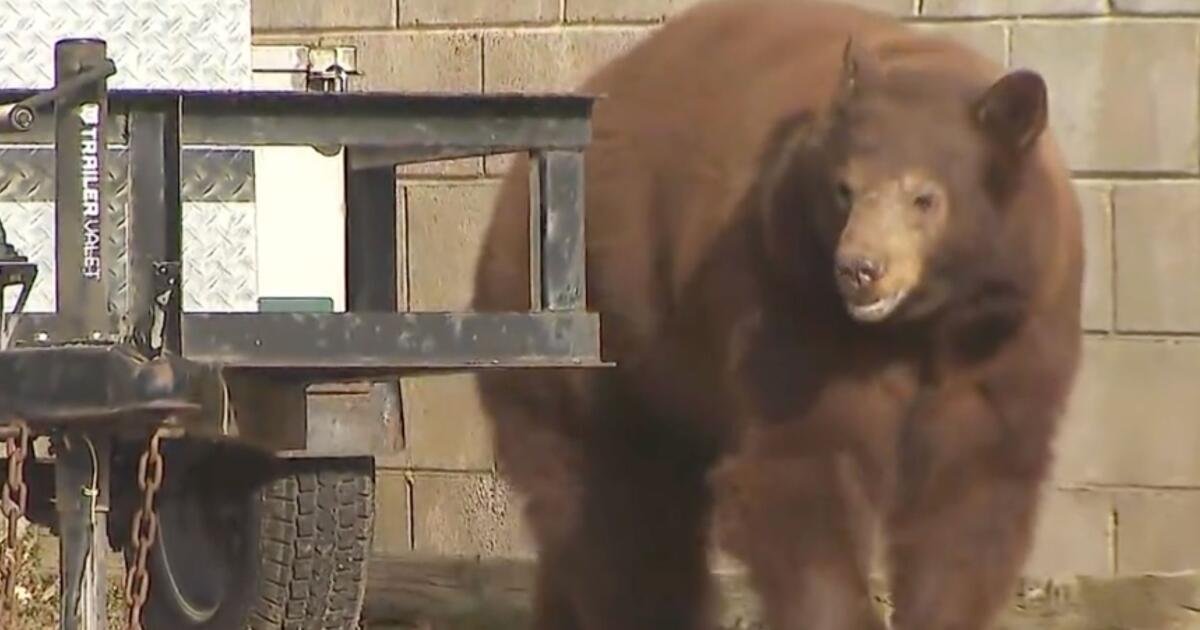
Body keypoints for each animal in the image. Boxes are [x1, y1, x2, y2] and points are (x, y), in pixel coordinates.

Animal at [470, 1, 1085, 629]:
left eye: (924, 197)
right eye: (844, 189)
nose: (858, 268)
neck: (919, 325)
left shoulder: (1010, 328)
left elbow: (973, 489)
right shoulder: (788, 295)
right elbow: (802, 467)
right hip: (588, 333)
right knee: (613, 510)